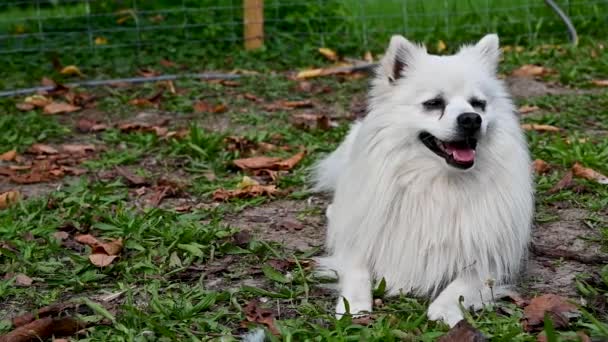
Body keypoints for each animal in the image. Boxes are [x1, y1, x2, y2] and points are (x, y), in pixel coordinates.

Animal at [312, 34, 536, 326]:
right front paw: (355, 304)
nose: (471, 119)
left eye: (479, 104)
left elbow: (466, 280)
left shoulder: (489, 254)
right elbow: (356, 268)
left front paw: (446, 308)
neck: (436, 181)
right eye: (433, 103)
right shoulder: (358, 238)